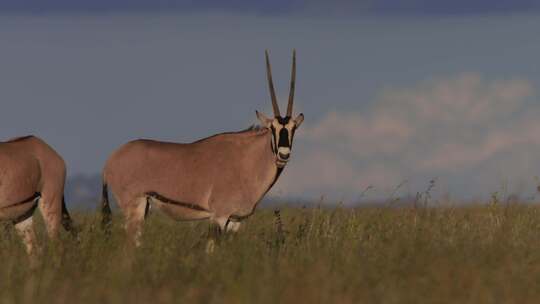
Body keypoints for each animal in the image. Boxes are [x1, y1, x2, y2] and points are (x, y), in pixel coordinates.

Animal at [101, 49, 304, 245]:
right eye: (272, 128)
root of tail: (110, 160)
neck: (248, 160)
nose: (283, 155)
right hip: (134, 207)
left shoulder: (235, 220)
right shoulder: (219, 216)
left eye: (293, 128)